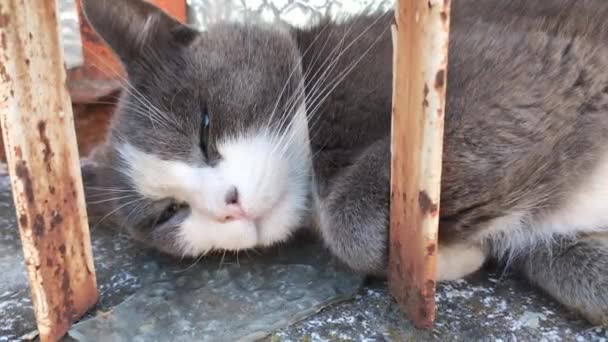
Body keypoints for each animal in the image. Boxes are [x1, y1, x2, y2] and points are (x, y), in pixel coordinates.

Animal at [81, 0, 608, 326]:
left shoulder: (534, 72)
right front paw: (454, 255)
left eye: (205, 129)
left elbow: (351, 213)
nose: (229, 204)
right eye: (168, 213)